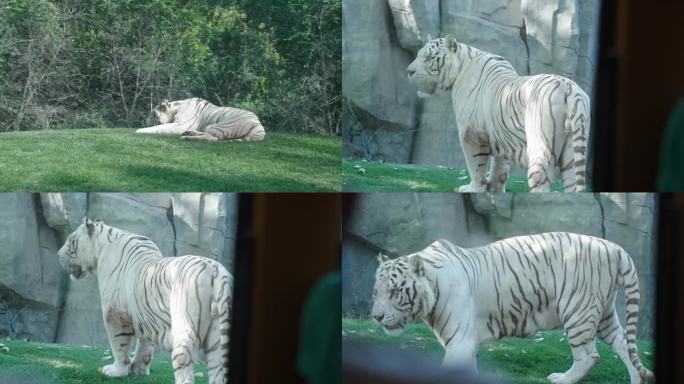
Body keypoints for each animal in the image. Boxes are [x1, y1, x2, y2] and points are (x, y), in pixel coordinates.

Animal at [56, 219, 232, 384]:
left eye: (71, 239)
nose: (58, 254)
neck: (100, 249)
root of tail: (217, 271)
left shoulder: (114, 313)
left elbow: (118, 344)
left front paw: (116, 371)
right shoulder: (147, 316)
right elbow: (145, 346)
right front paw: (138, 370)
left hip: (186, 326)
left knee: (184, 362)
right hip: (217, 334)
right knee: (218, 366)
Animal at [137, 97, 268, 142]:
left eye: (152, 114)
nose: (144, 121)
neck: (175, 109)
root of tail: (259, 126)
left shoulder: (179, 125)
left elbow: (158, 127)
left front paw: (139, 130)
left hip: (219, 126)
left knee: (213, 138)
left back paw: (187, 137)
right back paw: (188, 133)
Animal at [372, 231, 656, 384]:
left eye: (395, 292)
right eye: (376, 292)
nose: (375, 317)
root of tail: (614, 247)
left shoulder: (459, 340)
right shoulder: (466, 343)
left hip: (578, 309)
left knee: (589, 356)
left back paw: (561, 378)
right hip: (603, 311)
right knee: (623, 343)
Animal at [408, 36, 592, 192]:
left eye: (428, 58)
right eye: (418, 55)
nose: (409, 71)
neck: (462, 65)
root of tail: (570, 89)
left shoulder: (472, 133)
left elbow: (476, 164)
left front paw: (472, 189)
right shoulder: (502, 136)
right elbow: (500, 168)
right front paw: (494, 190)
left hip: (541, 144)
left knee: (541, 181)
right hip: (572, 148)